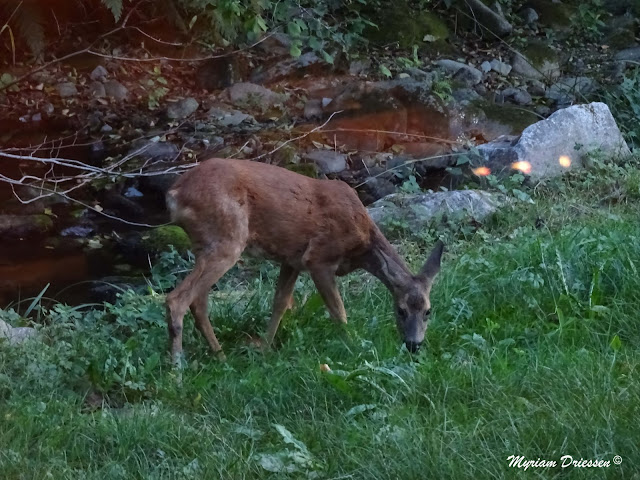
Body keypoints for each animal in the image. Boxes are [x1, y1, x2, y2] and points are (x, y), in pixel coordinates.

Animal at [165, 158, 444, 364]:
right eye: (401, 310)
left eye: (428, 311)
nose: (414, 345)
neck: (362, 242)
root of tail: (175, 193)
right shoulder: (318, 258)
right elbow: (338, 311)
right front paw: (353, 344)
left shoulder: (292, 260)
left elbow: (280, 303)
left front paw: (265, 349)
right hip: (227, 239)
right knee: (177, 299)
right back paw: (177, 371)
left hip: (206, 245)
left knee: (198, 302)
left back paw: (220, 356)